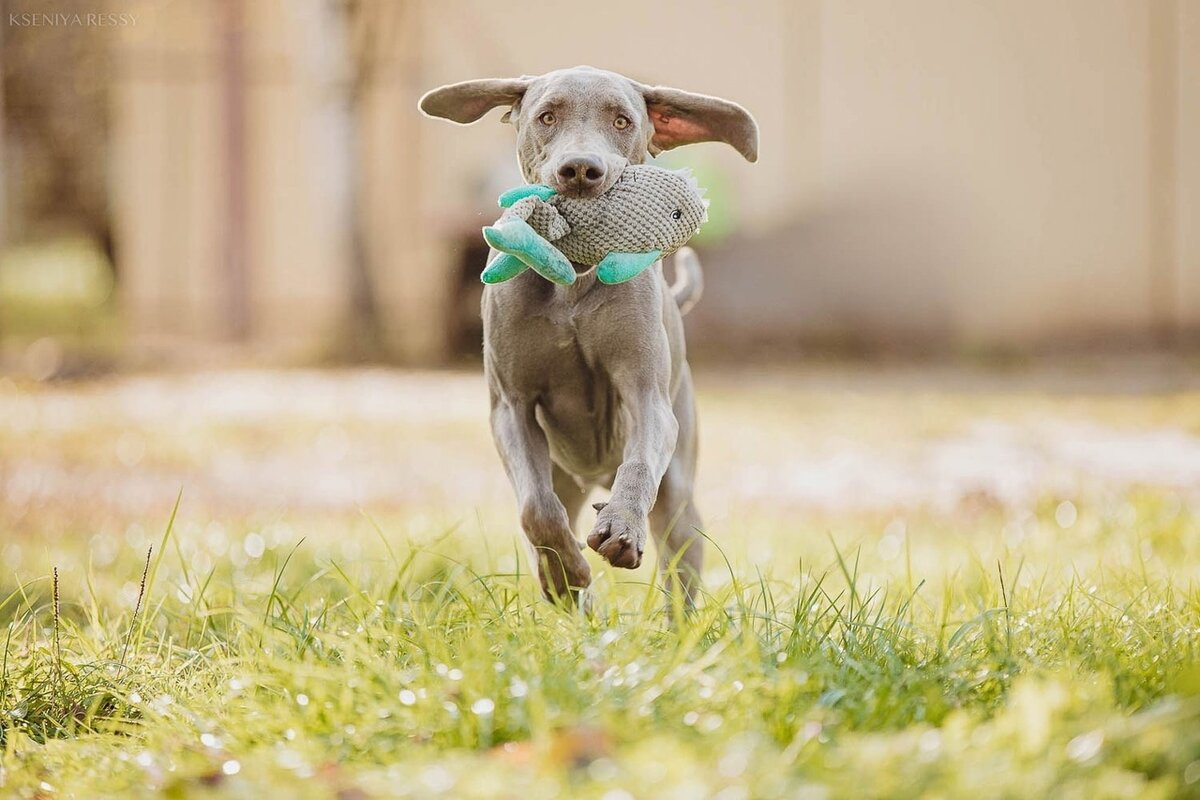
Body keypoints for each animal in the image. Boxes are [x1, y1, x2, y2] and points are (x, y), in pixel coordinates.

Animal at [422, 67, 758, 606]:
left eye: (622, 120)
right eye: (546, 116)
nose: (580, 169)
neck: (574, 279)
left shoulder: (647, 398)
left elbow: (639, 462)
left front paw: (621, 529)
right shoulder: (511, 408)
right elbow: (535, 508)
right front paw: (565, 573)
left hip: (680, 499)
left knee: (678, 565)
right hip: (564, 475)